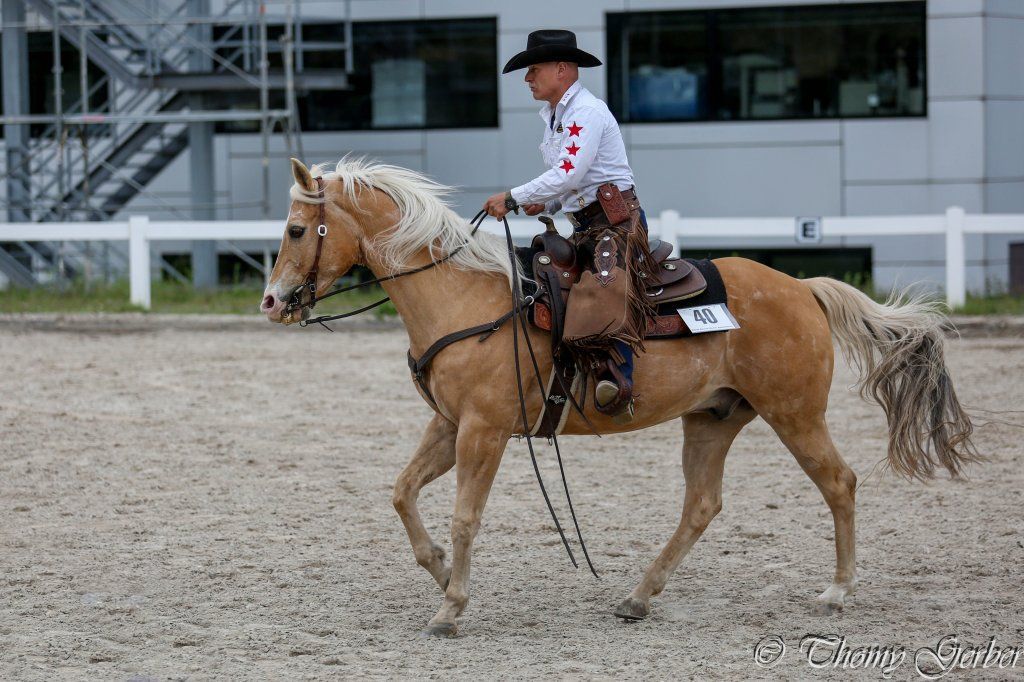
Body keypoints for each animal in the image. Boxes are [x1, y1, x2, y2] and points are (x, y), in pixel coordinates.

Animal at [260, 157, 978, 638]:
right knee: (702, 504)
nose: (271, 301)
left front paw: (450, 606)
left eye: (296, 230)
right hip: (713, 418)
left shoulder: (483, 430)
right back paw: (638, 596)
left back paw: (836, 592)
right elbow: (402, 492)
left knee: (839, 483)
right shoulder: (449, 424)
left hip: (795, 414)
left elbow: (466, 516)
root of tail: (803, 288)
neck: (462, 297)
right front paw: (439, 571)